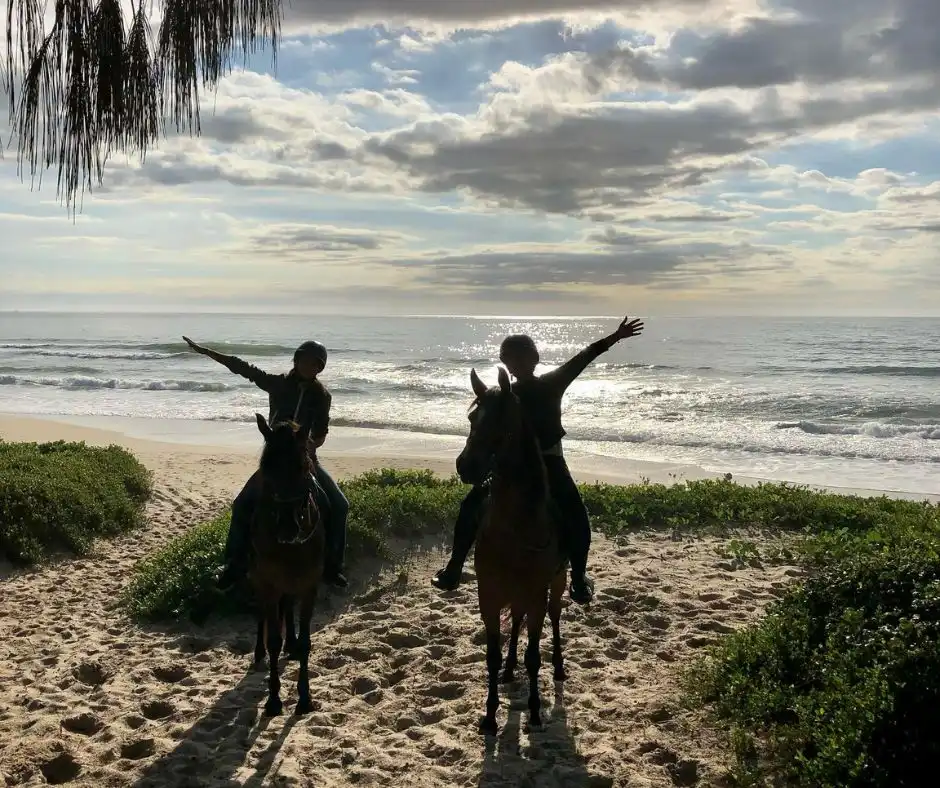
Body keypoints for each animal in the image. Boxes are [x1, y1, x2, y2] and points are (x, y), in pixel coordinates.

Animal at [250, 416, 326, 716]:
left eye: (303, 466)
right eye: (265, 468)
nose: (286, 529)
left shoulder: (309, 586)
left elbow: (306, 642)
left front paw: (304, 697)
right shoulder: (268, 584)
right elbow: (273, 640)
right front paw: (273, 699)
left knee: (288, 607)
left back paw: (291, 643)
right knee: (262, 616)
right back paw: (258, 653)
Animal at [454, 366, 564, 736]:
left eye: (502, 422)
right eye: (472, 419)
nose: (465, 466)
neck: (514, 528)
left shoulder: (536, 594)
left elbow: (534, 655)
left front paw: (534, 711)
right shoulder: (488, 595)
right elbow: (492, 655)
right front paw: (489, 715)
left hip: (556, 585)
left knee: (556, 618)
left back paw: (559, 666)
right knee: (515, 622)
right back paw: (508, 669)